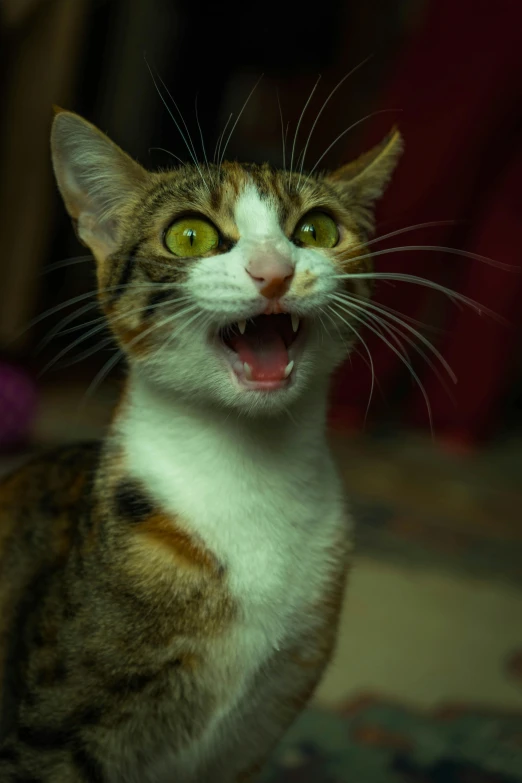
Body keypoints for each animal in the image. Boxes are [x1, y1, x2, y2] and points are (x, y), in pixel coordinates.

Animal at [0, 112, 400, 783]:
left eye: (316, 230)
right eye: (189, 236)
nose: (274, 270)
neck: (246, 471)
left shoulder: (259, 721)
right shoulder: (50, 728)